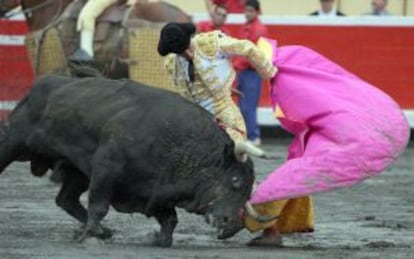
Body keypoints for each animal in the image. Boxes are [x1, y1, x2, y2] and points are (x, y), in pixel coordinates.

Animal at [0, 75, 256, 248]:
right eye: (235, 180)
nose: (230, 222)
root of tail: (41, 83)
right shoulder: (105, 167)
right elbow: (99, 205)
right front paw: (91, 235)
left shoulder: (156, 190)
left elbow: (170, 219)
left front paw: (158, 238)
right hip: (13, 144)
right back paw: (97, 231)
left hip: (76, 171)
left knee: (66, 199)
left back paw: (104, 231)